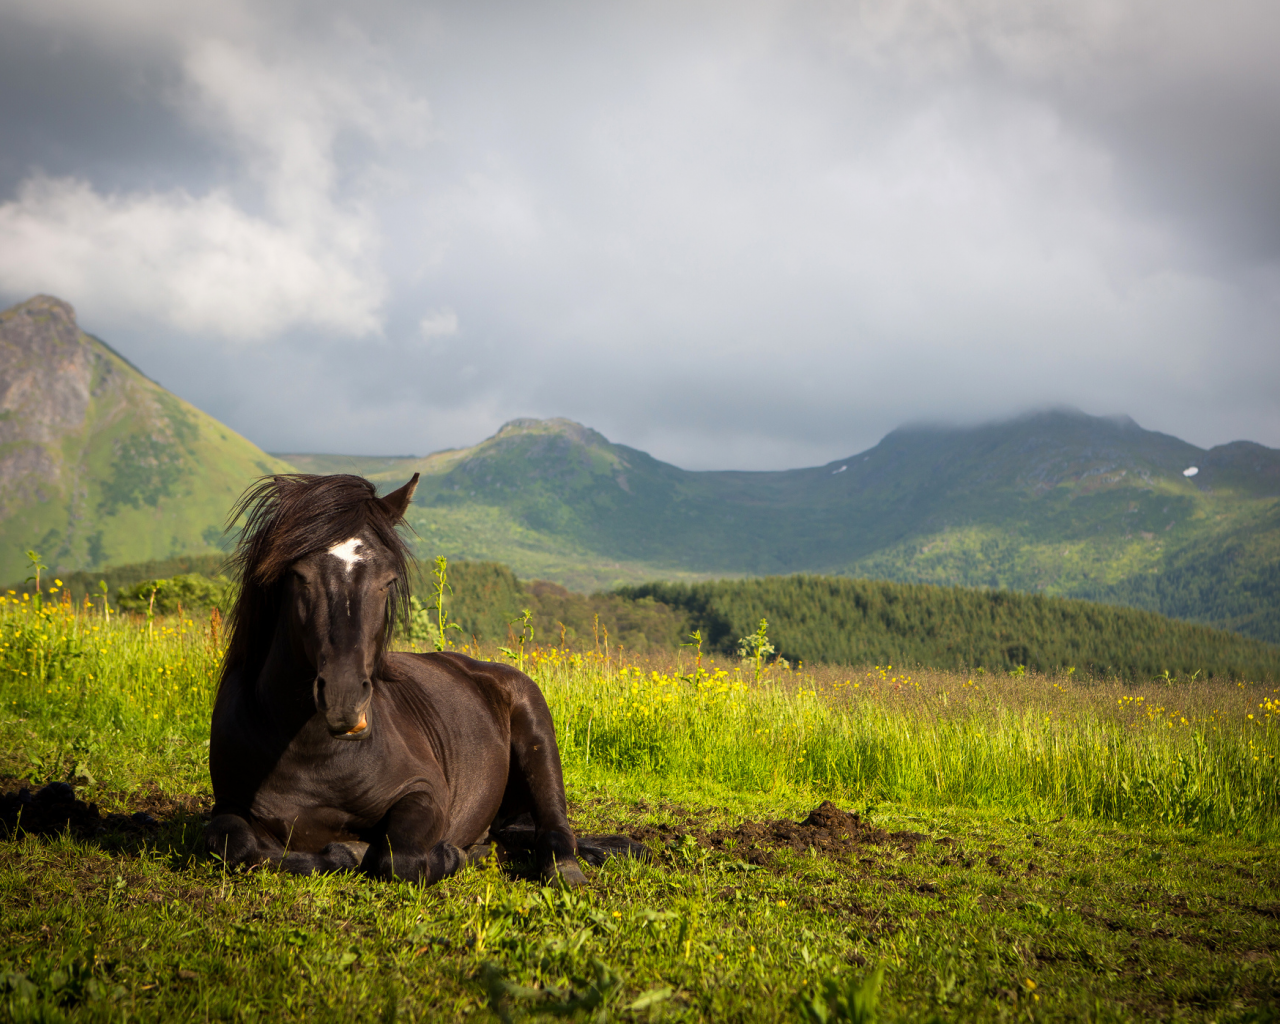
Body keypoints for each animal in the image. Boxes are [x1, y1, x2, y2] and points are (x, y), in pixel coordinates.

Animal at [204, 471, 624, 880]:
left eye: (387, 580)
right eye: (299, 575)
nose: (344, 699)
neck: (311, 753)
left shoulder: (424, 793)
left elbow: (399, 857)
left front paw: (446, 855)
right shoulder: (229, 804)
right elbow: (235, 845)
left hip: (537, 734)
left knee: (554, 828)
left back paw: (559, 869)